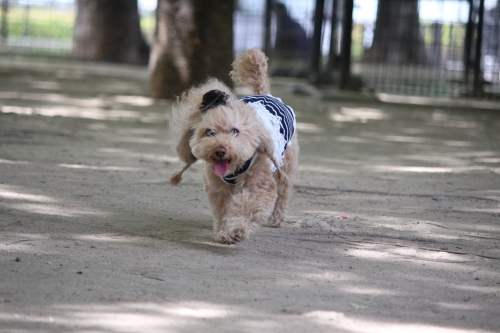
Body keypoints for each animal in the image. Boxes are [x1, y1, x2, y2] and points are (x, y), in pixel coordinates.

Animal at [170, 47, 298, 244]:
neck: (234, 169)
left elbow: (247, 207)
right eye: (209, 132)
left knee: (283, 192)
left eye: (235, 131)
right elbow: (223, 211)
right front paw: (223, 233)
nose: (220, 150)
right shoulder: (219, 190)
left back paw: (277, 219)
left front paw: (238, 230)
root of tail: (266, 94)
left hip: (286, 166)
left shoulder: (258, 186)